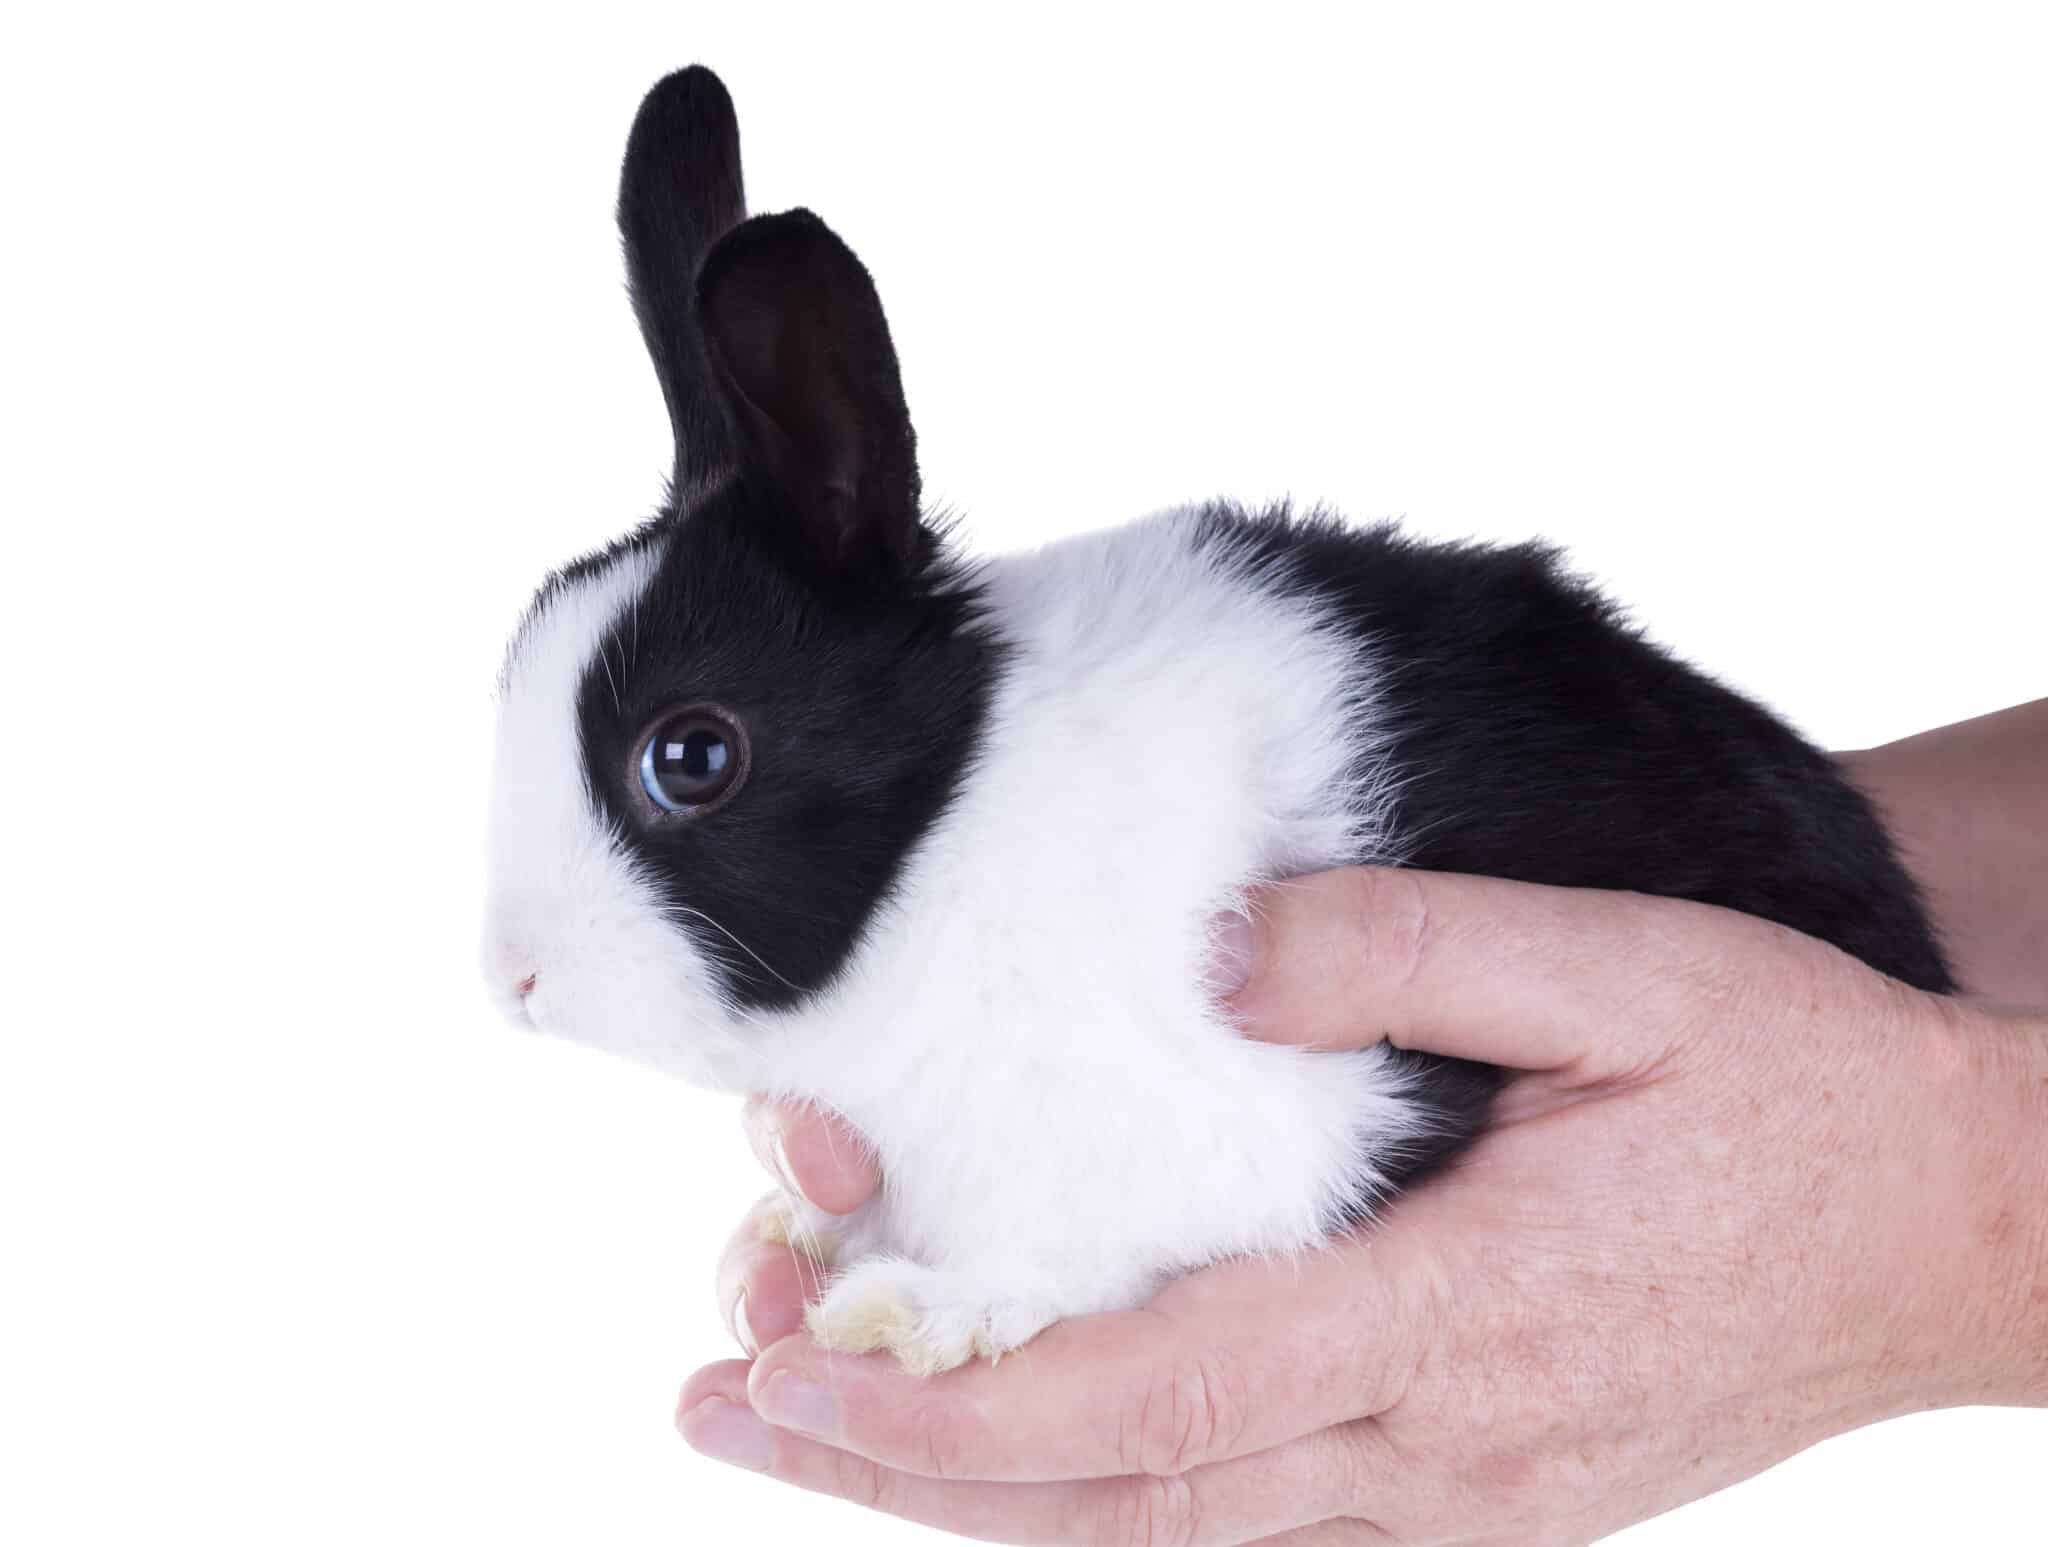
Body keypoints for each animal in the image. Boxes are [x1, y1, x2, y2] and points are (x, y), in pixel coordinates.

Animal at [482, 66, 1951, 1376]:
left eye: (690, 756)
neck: (958, 823)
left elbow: (1072, 1242)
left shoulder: (1264, 1112)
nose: (512, 979)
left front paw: (920, 1312)